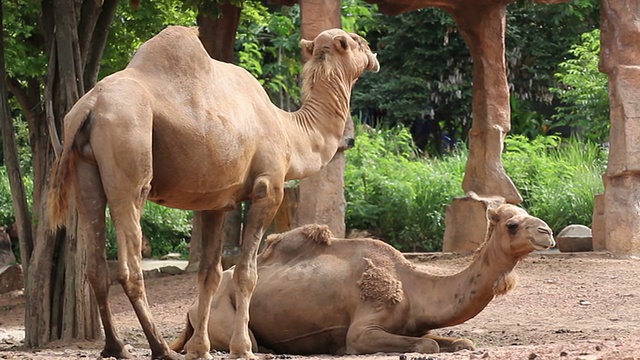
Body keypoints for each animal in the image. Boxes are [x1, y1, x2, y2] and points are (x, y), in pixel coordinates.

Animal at [48, 26, 380, 360]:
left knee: (94, 265)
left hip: (86, 170)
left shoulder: (215, 204)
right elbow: (246, 273)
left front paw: (200, 349)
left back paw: (116, 347)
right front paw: (242, 348)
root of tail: (89, 105)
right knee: (129, 264)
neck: (290, 132)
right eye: (355, 42)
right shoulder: (268, 188)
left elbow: (210, 274)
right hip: (129, 149)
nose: (373, 54)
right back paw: (161, 349)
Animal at [171, 204, 556, 356]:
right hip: (223, 313)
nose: (548, 233)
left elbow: (460, 341)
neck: (415, 289)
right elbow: (427, 345)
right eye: (512, 224)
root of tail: (188, 311)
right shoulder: (364, 328)